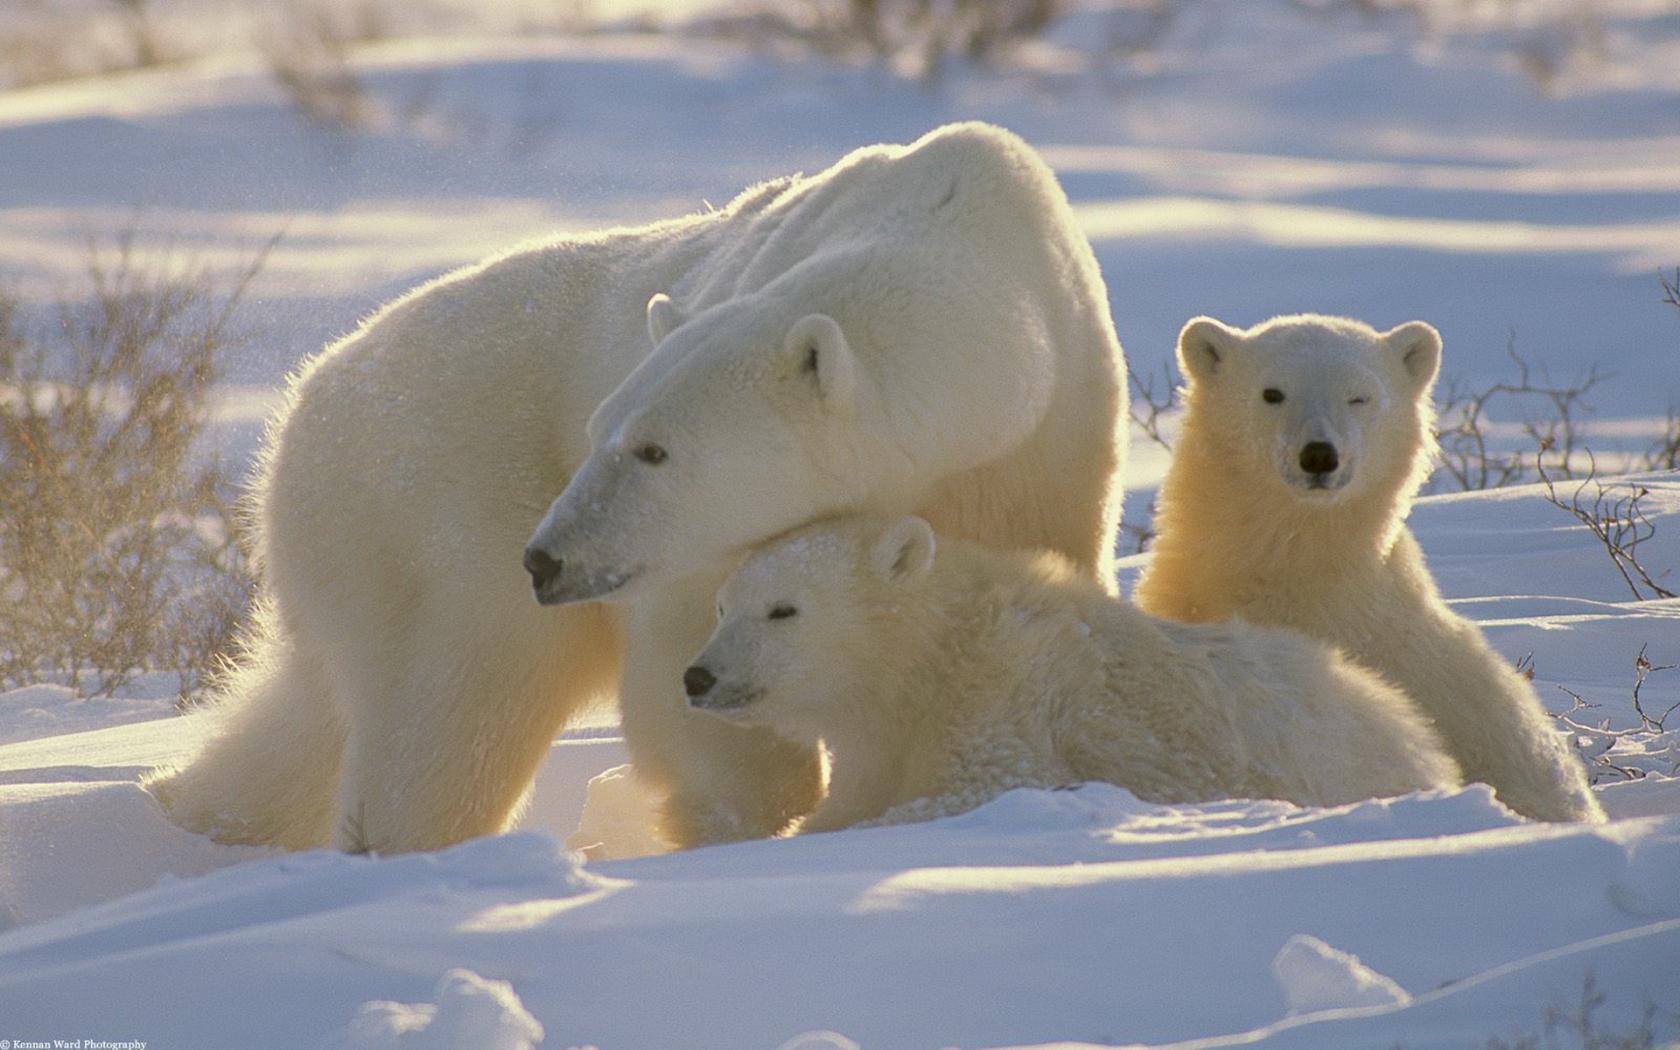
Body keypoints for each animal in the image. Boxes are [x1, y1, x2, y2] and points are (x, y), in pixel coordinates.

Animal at [151, 120, 1128, 853]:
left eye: (653, 450)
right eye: (601, 431)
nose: (546, 558)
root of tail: (303, 400)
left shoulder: (1047, 449)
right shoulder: (695, 553)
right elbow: (689, 668)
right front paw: (747, 818)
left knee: (309, 710)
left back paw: (189, 809)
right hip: (434, 502)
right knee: (459, 702)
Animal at [678, 510, 1458, 829]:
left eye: (783, 609)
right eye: (721, 606)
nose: (698, 677)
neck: (938, 652)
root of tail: (1421, 739)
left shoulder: (1008, 695)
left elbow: (981, 786)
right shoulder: (879, 739)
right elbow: (850, 797)